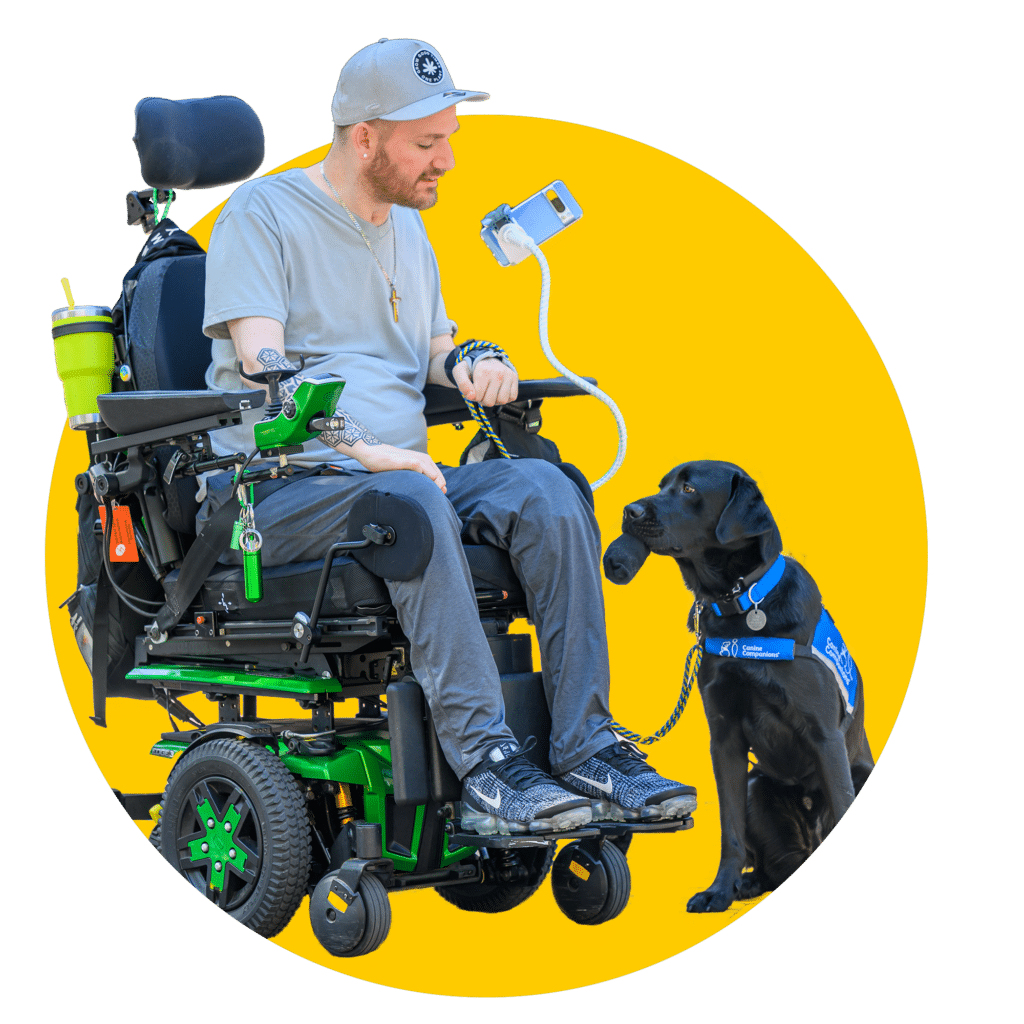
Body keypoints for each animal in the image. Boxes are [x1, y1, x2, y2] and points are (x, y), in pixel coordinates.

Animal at [602, 460, 876, 909]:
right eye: (662, 485)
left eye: (689, 488)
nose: (629, 510)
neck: (743, 604)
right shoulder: (725, 736)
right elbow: (729, 829)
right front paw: (719, 891)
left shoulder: (825, 737)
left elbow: (840, 804)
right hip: (756, 784)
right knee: (775, 865)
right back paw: (747, 884)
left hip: (858, 773)